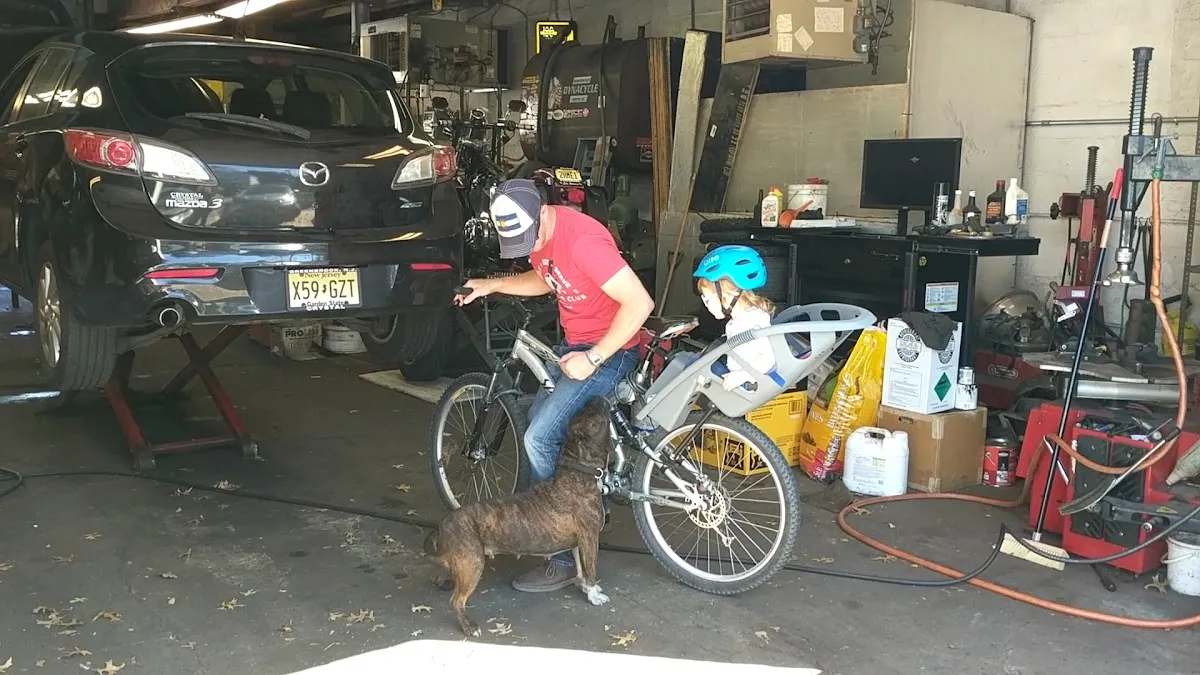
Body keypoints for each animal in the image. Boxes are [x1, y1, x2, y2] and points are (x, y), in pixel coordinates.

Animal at [423, 396, 611, 636]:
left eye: (582, 410)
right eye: (592, 414)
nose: (594, 397)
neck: (578, 470)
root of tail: (442, 526)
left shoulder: (579, 543)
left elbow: (581, 569)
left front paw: (587, 589)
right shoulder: (589, 538)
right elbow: (591, 569)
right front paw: (595, 595)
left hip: (460, 561)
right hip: (472, 563)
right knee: (457, 601)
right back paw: (470, 626)